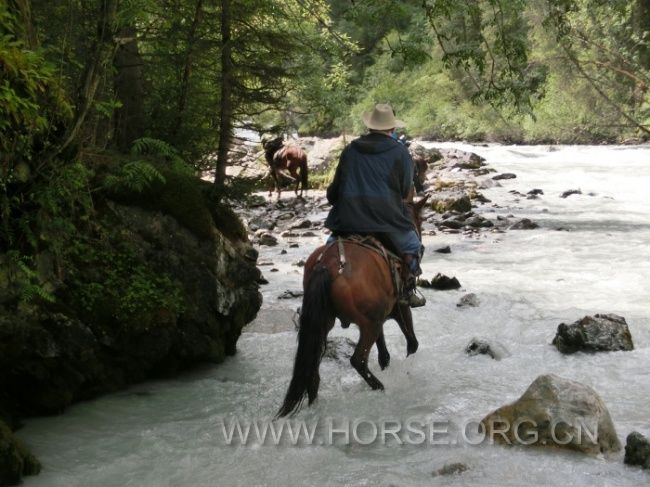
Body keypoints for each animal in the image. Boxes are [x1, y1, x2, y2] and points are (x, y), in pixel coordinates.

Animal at [276, 196, 428, 418]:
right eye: (419, 220)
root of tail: (328, 264)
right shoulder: (399, 309)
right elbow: (412, 343)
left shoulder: (380, 316)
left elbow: (384, 353)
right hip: (368, 325)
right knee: (358, 360)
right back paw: (379, 387)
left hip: (324, 322)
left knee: (313, 366)